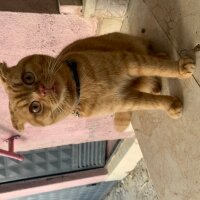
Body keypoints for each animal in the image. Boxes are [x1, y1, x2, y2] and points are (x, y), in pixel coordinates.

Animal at [0, 32, 195, 133]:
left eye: (28, 77)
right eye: (35, 107)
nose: (42, 91)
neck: (83, 87)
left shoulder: (132, 62)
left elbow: (160, 67)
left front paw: (180, 68)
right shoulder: (127, 100)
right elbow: (153, 103)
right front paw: (170, 106)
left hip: (133, 44)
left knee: (152, 53)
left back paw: (162, 57)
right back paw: (154, 86)